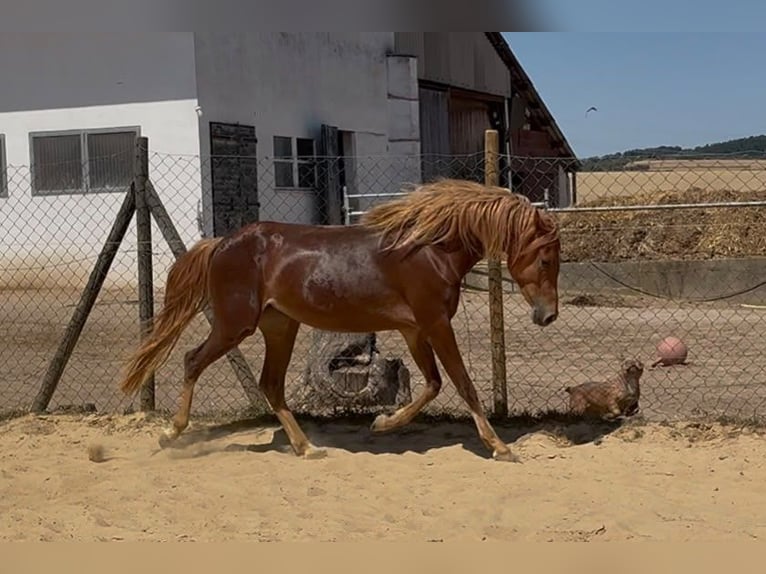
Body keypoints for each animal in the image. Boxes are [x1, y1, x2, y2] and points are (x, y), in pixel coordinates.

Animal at [117, 178, 561, 462]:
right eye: (545, 259)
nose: (548, 315)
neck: (429, 249)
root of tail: (222, 243)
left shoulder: (414, 329)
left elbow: (433, 384)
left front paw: (381, 423)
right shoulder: (435, 323)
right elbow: (462, 383)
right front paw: (500, 447)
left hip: (280, 326)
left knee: (270, 385)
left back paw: (307, 448)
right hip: (234, 325)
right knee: (193, 360)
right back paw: (170, 434)